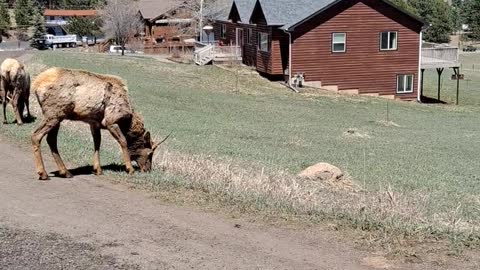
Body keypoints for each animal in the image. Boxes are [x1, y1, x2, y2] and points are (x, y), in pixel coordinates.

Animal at [31, 68, 168, 181]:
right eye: (150, 153)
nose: (148, 169)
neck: (128, 121)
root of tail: (36, 85)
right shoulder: (110, 121)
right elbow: (123, 142)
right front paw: (130, 169)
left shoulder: (94, 123)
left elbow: (97, 143)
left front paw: (98, 169)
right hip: (54, 113)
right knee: (36, 136)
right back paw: (43, 173)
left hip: (57, 116)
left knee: (51, 139)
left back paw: (65, 172)